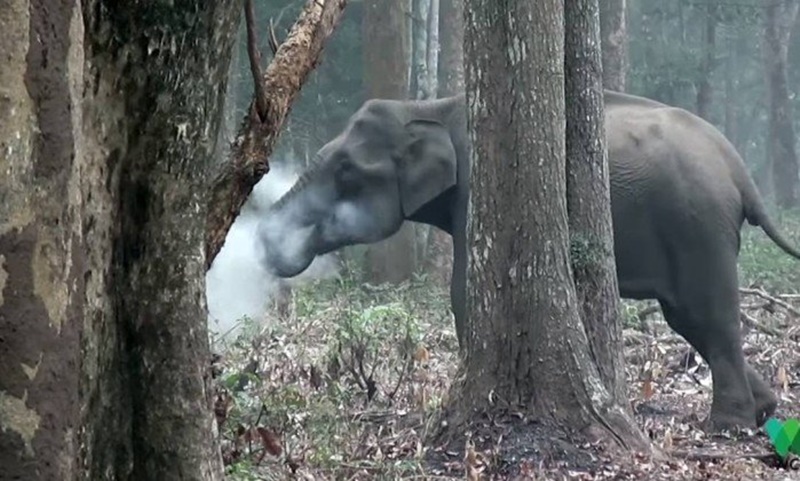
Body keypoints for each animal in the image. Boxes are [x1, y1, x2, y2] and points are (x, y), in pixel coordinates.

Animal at [255, 90, 800, 432]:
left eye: (346, 171)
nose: (260, 240)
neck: (431, 105)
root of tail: (738, 169)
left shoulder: (478, 188)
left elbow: (464, 291)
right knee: (688, 318)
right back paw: (764, 410)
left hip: (697, 225)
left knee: (708, 316)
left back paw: (728, 426)